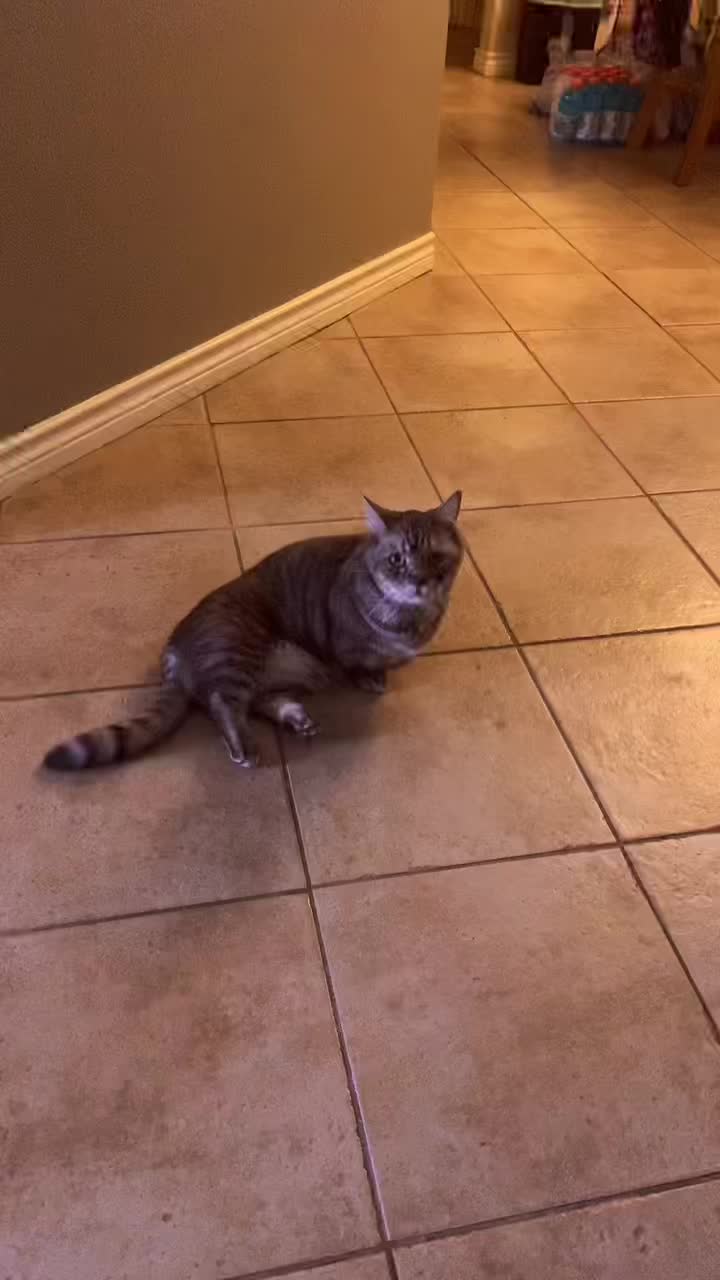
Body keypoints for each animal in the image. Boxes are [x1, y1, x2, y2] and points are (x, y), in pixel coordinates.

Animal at [43, 491, 463, 771]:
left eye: (436, 557)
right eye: (396, 560)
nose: (420, 582)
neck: (414, 616)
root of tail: (174, 648)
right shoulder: (347, 645)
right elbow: (362, 663)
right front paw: (372, 677)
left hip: (285, 670)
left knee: (259, 701)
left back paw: (295, 717)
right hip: (239, 649)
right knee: (222, 703)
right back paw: (244, 745)